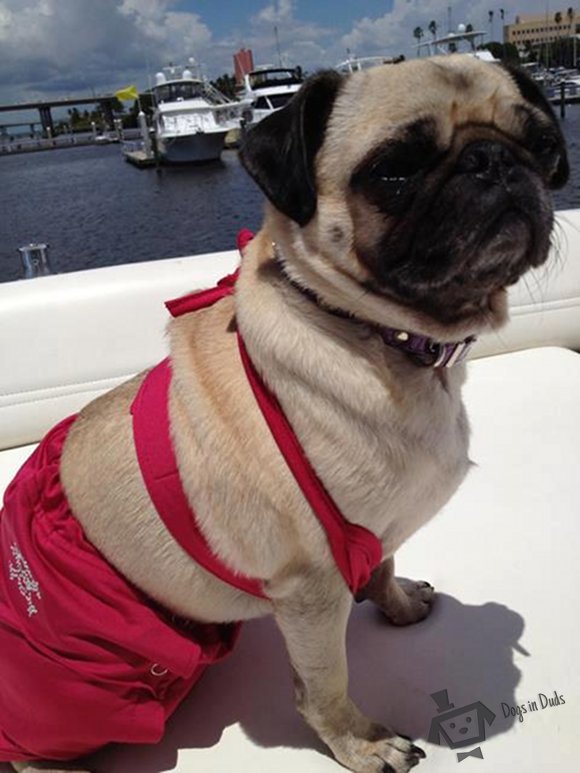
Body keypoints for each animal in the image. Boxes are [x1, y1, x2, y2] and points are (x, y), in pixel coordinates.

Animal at [4, 55, 568, 772]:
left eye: (543, 145)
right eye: (395, 170)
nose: (492, 159)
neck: (374, 335)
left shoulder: (370, 534)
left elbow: (383, 565)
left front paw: (398, 604)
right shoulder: (311, 588)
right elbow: (325, 685)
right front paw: (362, 743)